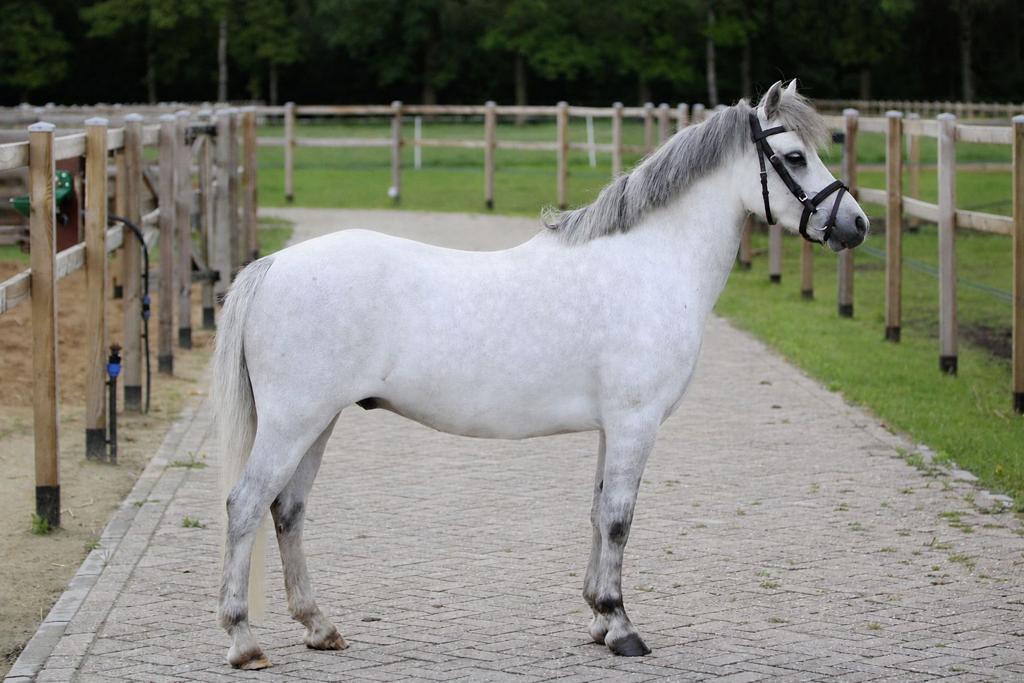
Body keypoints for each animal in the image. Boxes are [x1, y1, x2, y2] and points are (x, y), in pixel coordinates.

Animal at [214, 80, 868, 669]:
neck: (650, 264)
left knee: (288, 511)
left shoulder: (613, 428)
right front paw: (622, 627)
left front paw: (599, 619)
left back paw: (319, 627)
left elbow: (599, 513)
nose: (857, 224)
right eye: (795, 157)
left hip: (317, 423)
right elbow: (619, 520)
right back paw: (244, 642)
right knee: (246, 505)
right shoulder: (636, 424)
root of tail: (272, 265)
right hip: (294, 422)